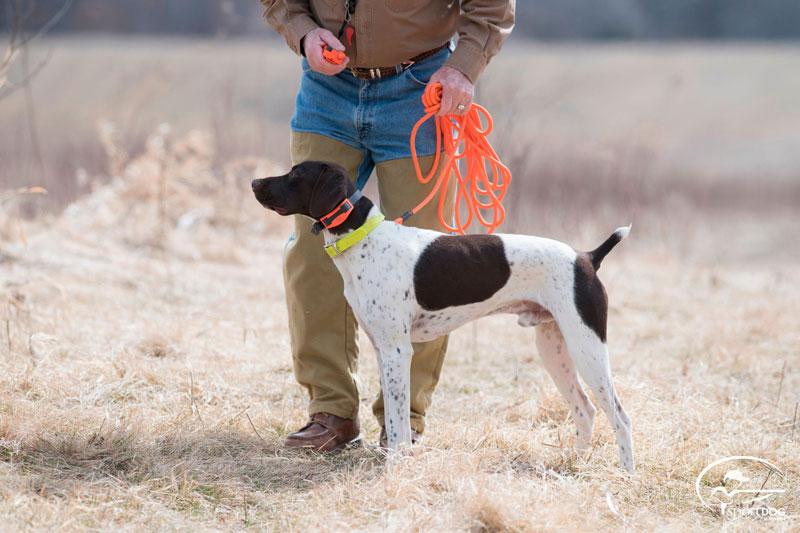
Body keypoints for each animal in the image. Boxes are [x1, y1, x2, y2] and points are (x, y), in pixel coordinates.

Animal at [252, 161, 634, 472]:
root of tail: (586, 257)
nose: (255, 182)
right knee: (585, 409)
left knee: (620, 416)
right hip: (555, 348)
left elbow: (398, 419)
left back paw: (625, 474)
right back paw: (574, 463)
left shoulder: (397, 351)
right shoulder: (382, 350)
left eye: (296, 174)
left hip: (587, 347)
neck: (364, 240)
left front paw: (396, 463)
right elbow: (392, 413)